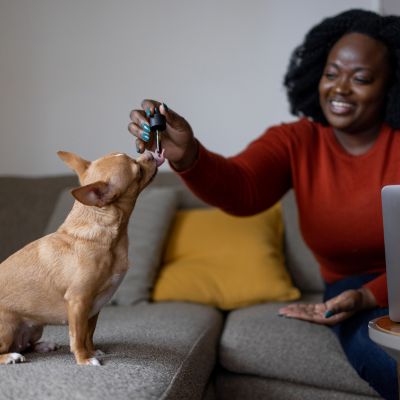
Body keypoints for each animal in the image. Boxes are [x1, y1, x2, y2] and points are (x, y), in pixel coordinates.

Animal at [0, 150, 164, 366]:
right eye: (138, 170)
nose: (150, 154)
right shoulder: (78, 301)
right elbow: (78, 335)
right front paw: (84, 359)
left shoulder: (94, 307)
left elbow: (88, 333)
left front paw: (91, 351)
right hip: (7, 329)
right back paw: (11, 356)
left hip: (35, 328)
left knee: (26, 345)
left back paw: (43, 345)